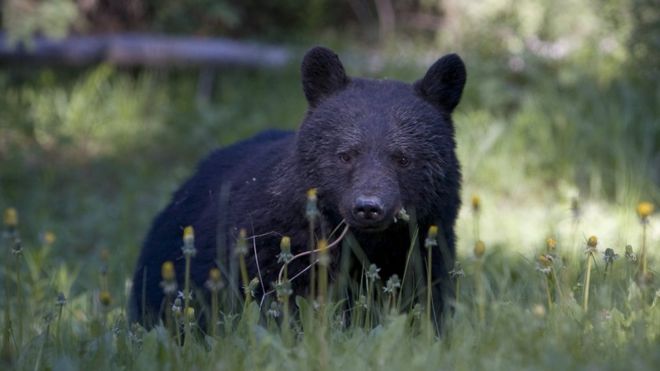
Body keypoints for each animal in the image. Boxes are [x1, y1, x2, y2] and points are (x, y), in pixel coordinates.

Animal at [130, 45, 464, 328]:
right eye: (346, 155)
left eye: (403, 158)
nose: (369, 207)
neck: (367, 243)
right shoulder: (273, 250)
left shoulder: (426, 247)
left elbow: (427, 298)